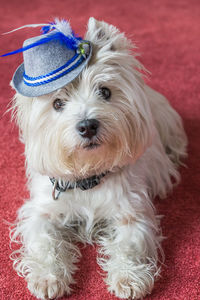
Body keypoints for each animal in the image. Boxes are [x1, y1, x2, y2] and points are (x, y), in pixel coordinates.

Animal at [9, 18, 188, 300]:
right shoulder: (42, 212)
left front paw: (128, 279)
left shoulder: (130, 213)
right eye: (57, 103)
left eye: (105, 91)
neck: (88, 174)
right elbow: (45, 242)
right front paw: (47, 279)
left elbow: (128, 246)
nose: (88, 126)